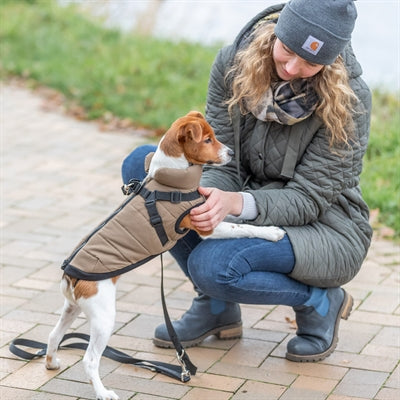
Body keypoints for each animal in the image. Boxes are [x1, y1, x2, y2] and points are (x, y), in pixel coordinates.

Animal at [45, 111, 286, 400]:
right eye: (207, 140)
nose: (230, 153)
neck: (171, 177)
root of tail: (70, 275)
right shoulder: (207, 226)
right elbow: (242, 227)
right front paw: (272, 232)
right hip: (103, 317)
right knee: (90, 359)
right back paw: (103, 392)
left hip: (72, 308)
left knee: (53, 335)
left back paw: (51, 362)